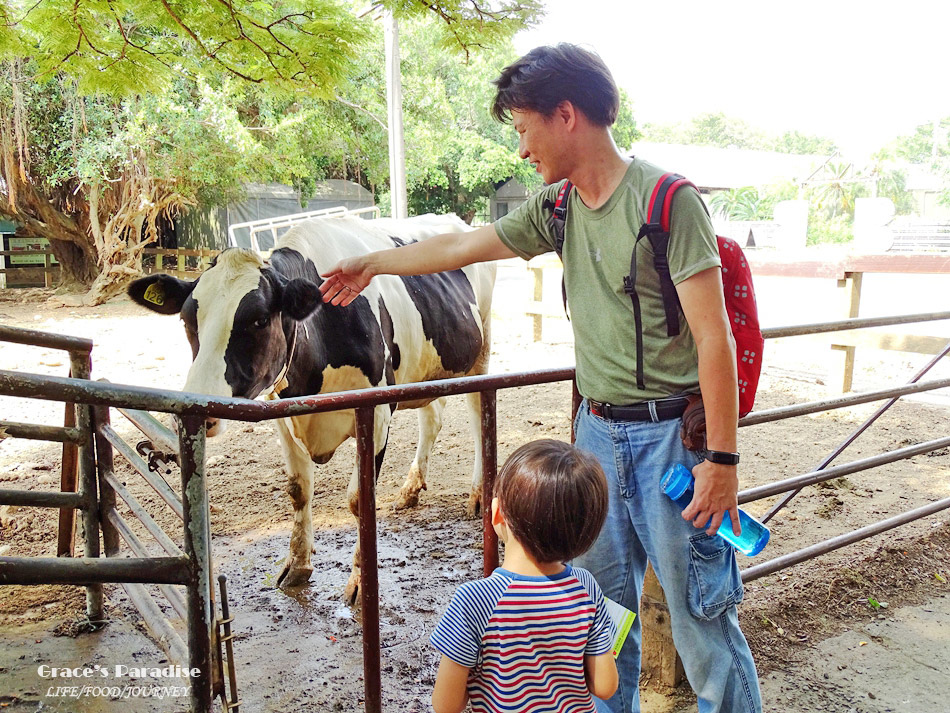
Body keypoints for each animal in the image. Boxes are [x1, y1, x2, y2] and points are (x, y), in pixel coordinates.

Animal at [130, 216, 498, 600]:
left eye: (260, 320)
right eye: (188, 319)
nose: (202, 406)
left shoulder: (376, 413)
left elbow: (359, 500)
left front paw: (359, 582)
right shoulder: (284, 414)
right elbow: (298, 490)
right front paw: (297, 564)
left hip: (481, 352)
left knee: (478, 418)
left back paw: (477, 494)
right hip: (426, 369)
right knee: (432, 419)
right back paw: (410, 489)